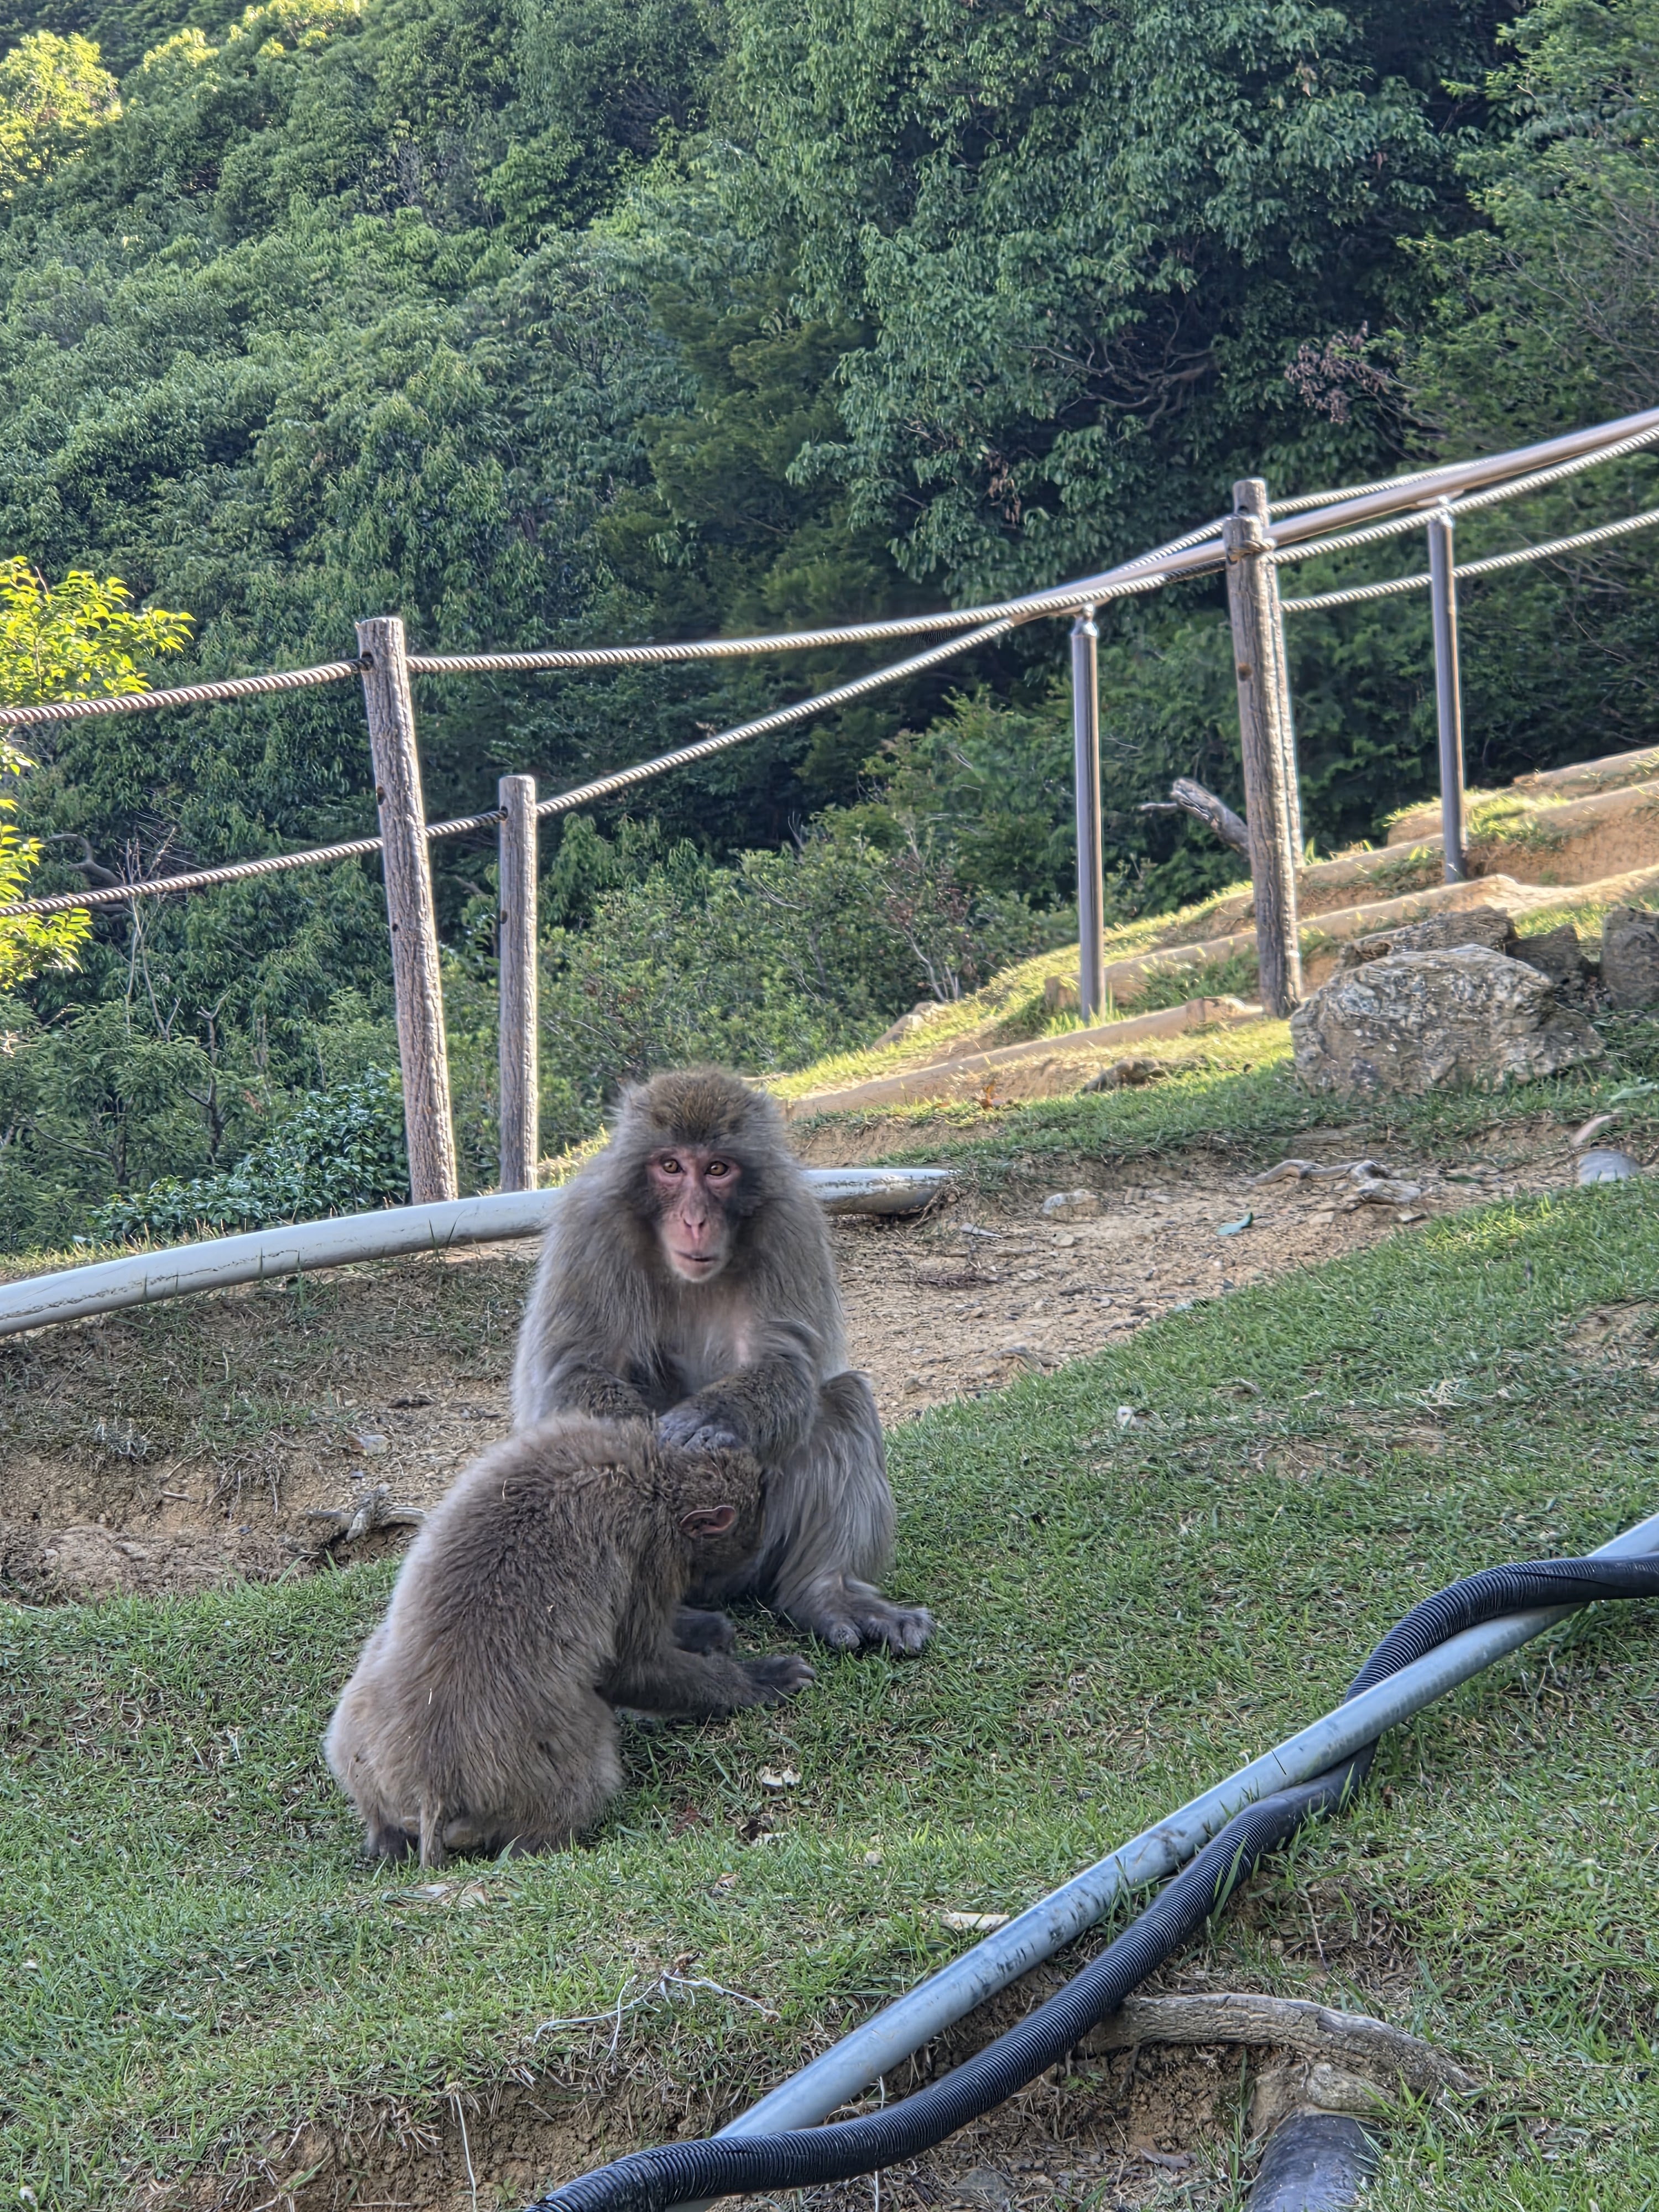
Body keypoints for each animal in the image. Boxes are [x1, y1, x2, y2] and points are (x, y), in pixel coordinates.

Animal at [324, 1413, 814, 1865]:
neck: (650, 1474)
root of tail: (435, 1788)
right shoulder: (645, 1545)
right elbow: (629, 1669)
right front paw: (758, 1680)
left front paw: (706, 1629)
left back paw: (384, 1837)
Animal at [510, 1067, 933, 1657]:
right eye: (670, 1167)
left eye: (717, 1169)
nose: (694, 1220)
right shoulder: (590, 1225)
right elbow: (573, 1369)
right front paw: (645, 1442)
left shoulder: (789, 1223)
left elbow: (785, 1364)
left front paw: (708, 1420)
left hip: (749, 1552)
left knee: (842, 1399)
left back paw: (824, 1594)